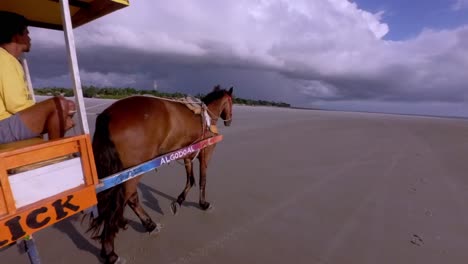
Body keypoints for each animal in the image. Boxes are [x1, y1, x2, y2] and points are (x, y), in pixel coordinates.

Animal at [87, 85, 233, 262]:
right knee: (120, 202)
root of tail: (107, 115)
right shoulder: (206, 152)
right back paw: (110, 251)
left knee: (128, 198)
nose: (230, 120)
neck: (206, 116)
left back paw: (148, 224)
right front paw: (203, 203)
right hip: (133, 171)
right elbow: (202, 180)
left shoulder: (188, 154)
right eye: (231, 102)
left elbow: (190, 179)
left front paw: (179, 200)